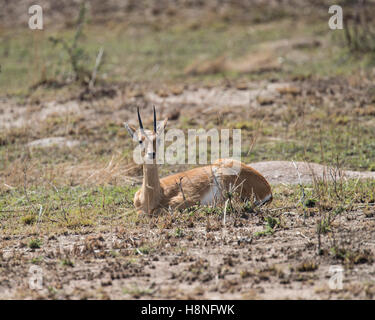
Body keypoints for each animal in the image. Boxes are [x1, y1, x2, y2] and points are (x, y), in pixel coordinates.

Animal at [124, 107, 274, 215]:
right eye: (140, 140)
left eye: (158, 140)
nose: (152, 154)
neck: (153, 195)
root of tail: (267, 187)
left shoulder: (187, 199)